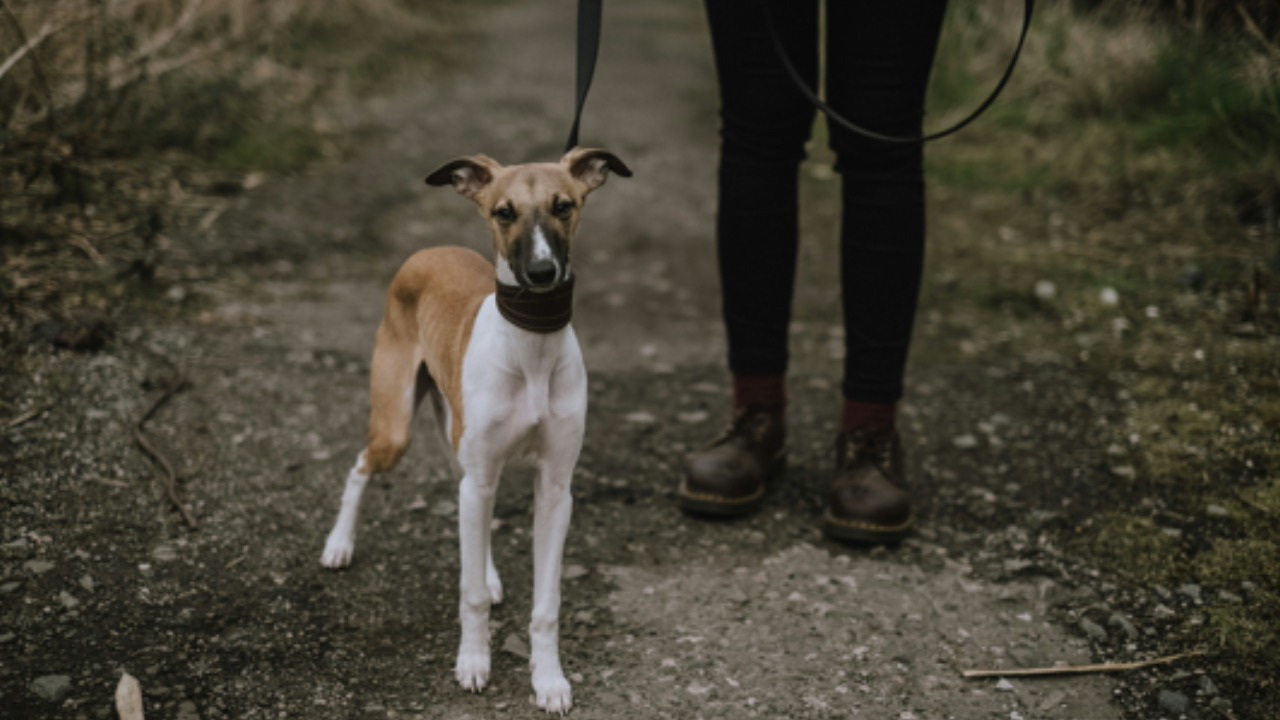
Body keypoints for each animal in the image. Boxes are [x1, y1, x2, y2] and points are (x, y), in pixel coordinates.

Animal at [320, 147, 629, 712]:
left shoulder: (555, 490)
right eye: (503, 212)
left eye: (564, 205)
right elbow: (471, 594)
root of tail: (429, 249)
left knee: (466, 505)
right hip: (396, 428)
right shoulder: (482, 474)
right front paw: (473, 662)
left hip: (461, 446)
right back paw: (338, 544)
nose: (541, 273)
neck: (531, 348)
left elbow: (546, 603)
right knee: (361, 466)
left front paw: (548, 679)